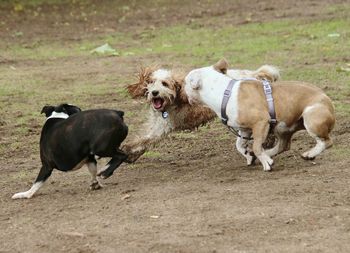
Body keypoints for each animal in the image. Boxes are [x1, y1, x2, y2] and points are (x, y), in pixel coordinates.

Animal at [185, 61, 334, 171]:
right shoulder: (245, 129)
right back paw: (268, 153)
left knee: (326, 142)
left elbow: (256, 146)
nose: (183, 88)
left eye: (186, 82)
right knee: (284, 145)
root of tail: (327, 99)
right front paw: (249, 155)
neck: (224, 92)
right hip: (282, 128)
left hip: (310, 118)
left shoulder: (261, 123)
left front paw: (265, 163)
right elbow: (239, 144)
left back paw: (309, 154)